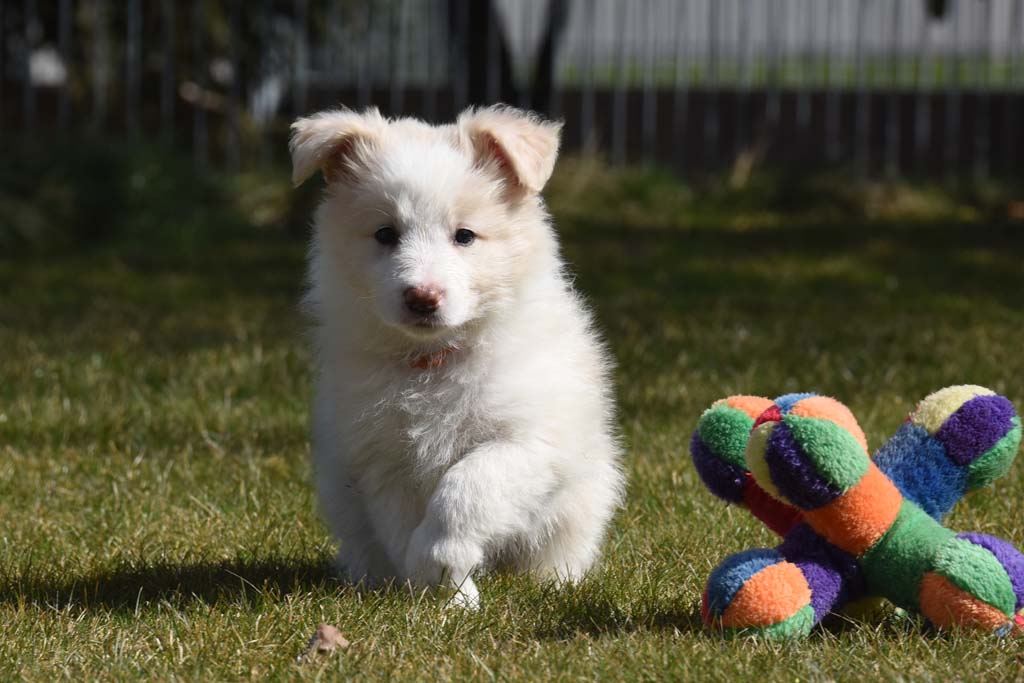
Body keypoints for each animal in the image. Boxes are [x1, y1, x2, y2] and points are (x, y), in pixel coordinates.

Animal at [288, 104, 622, 606]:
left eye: (465, 236)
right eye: (385, 234)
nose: (422, 297)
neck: (433, 360)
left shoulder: (524, 441)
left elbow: (466, 489)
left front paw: (443, 569)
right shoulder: (384, 457)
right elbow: (403, 525)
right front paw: (440, 590)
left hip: (577, 506)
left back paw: (553, 579)